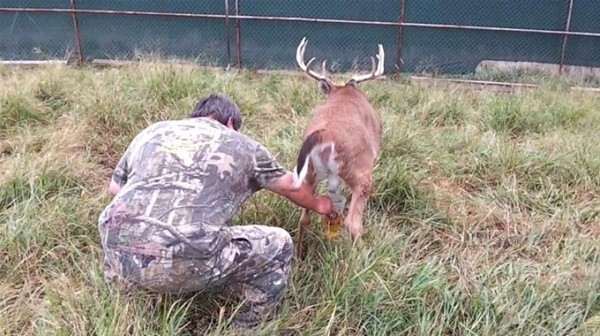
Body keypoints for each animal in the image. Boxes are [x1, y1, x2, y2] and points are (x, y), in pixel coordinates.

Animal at [290, 36, 384, 256]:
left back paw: (299, 255)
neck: (343, 93)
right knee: (353, 223)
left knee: (304, 217)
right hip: (360, 171)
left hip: (308, 172)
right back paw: (364, 257)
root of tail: (325, 136)